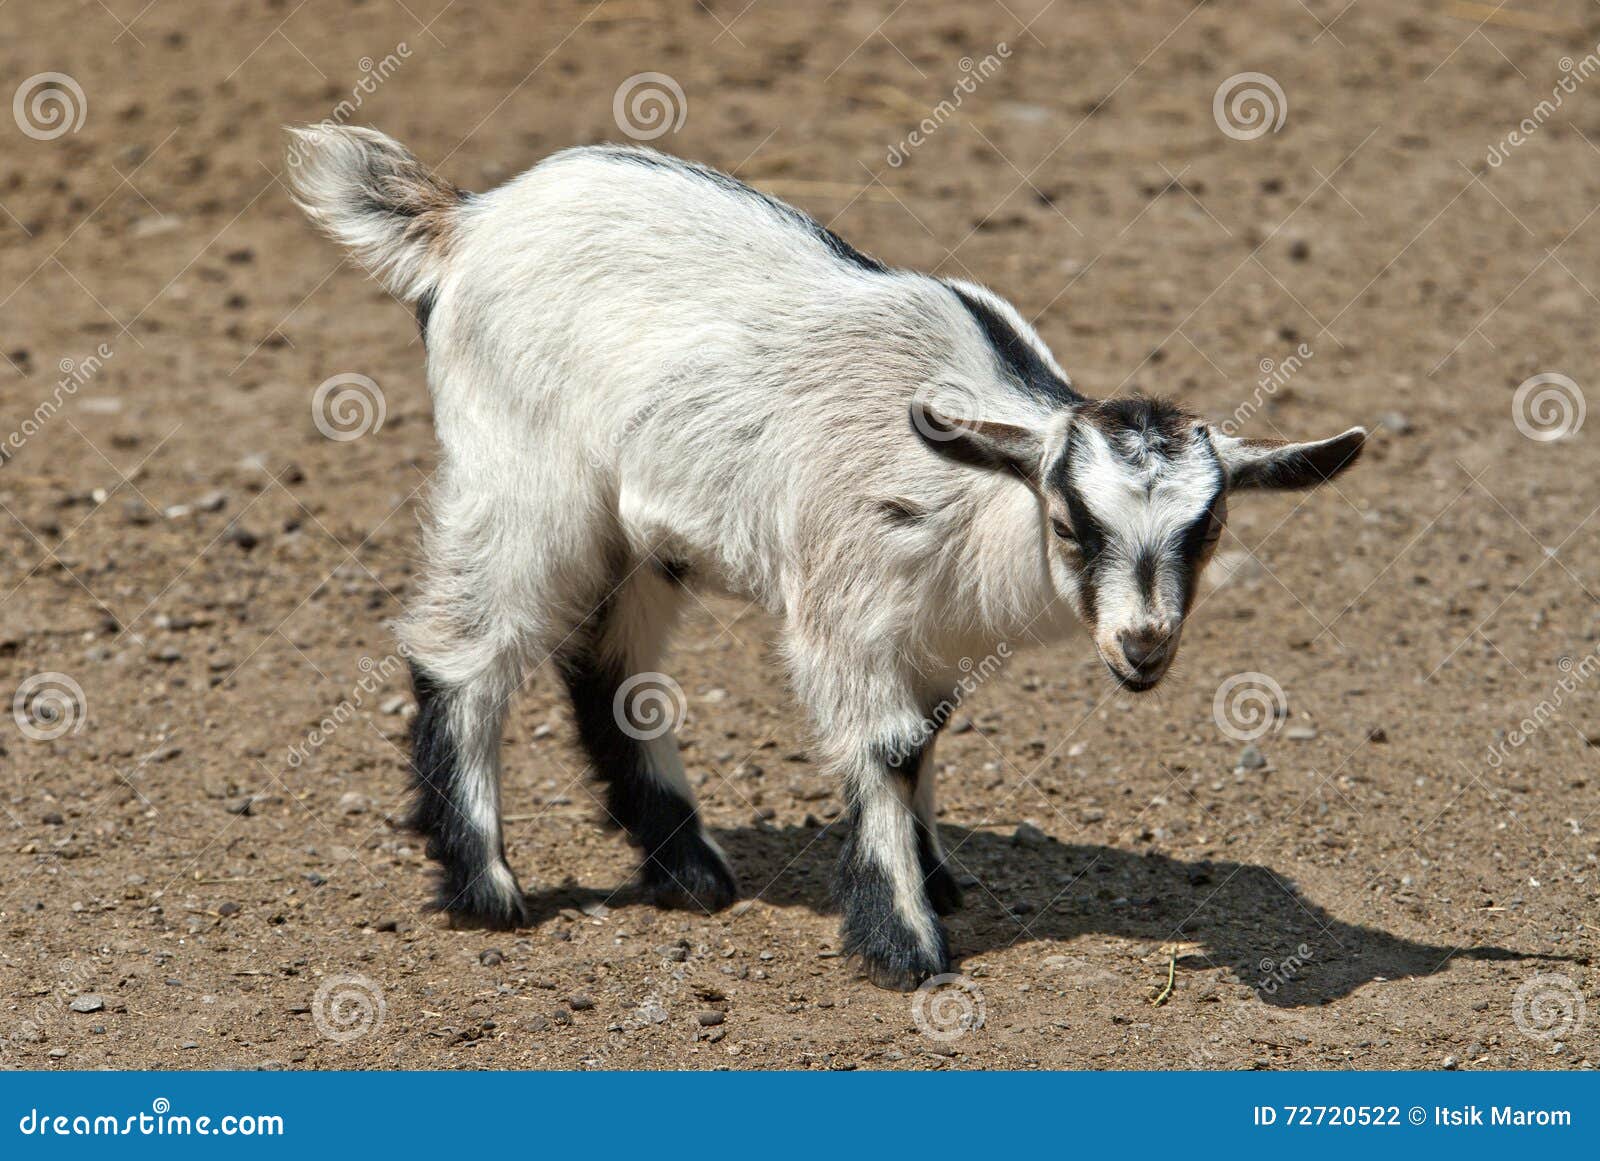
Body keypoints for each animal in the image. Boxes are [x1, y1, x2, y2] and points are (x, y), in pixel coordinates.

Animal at [288, 125, 1365, 990]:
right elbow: (883, 748)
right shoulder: (845, 610)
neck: (974, 492)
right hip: (523, 482)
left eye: (1208, 530)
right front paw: (903, 944)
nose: (1143, 646)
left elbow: (924, 738)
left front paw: (936, 877)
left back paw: (687, 870)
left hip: (640, 532)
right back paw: (487, 887)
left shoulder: (927, 635)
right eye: (1069, 524)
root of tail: (465, 220)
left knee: (609, 666)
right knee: (468, 650)